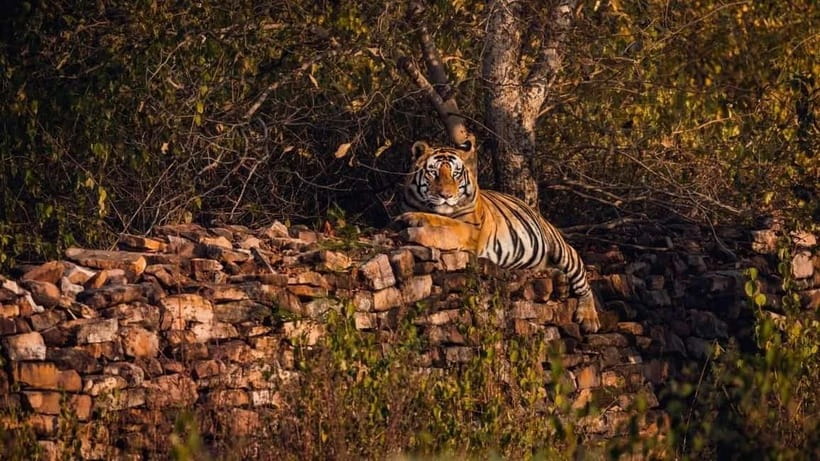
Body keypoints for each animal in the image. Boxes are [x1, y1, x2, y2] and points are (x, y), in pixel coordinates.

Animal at [396, 138, 601, 332]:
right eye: (434, 173)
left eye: (455, 174)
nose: (446, 195)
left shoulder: (470, 230)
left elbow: (444, 225)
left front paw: (413, 223)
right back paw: (561, 284)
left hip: (561, 250)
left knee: (582, 281)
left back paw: (589, 319)